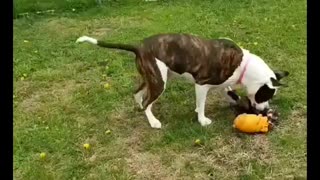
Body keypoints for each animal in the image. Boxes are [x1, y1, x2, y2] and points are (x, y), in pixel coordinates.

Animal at [76, 33, 288, 128]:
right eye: (266, 95)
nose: (266, 111)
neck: (244, 65)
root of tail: (138, 46)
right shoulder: (202, 84)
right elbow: (202, 104)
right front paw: (202, 120)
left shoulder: (223, 84)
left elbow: (229, 95)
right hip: (159, 82)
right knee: (147, 102)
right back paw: (153, 121)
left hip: (153, 77)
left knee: (137, 93)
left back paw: (139, 108)